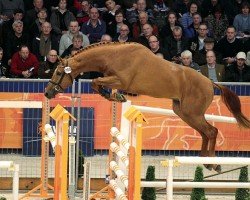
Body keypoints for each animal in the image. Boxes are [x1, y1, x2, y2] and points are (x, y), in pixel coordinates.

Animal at [44, 42, 250, 172]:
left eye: (59, 72)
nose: (47, 92)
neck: (114, 55)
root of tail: (210, 82)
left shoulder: (121, 80)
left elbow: (96, 82)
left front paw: (113, 96)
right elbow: (97, 83)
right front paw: (113, 96)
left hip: (192, 113)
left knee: (212, 131)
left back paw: (213, 163)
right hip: (184, 112)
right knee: (205, 133)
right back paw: (205, 161)